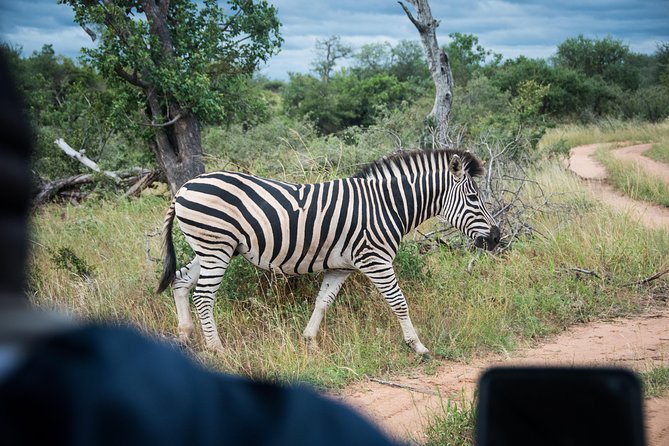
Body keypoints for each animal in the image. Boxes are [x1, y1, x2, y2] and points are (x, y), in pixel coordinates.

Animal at [157, 148, 498, 358]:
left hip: (210, 249)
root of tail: (185, 187)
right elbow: (399, 303)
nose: (496, 238)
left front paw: (309, 342)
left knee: (180, 281)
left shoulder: (341, 266)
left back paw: (185, 336)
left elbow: (323, 302)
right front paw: (419, 347)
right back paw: (217, 348)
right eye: (473, 197)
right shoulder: (376, 260)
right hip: (216, 247)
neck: (387, 205)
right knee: (204, 296)